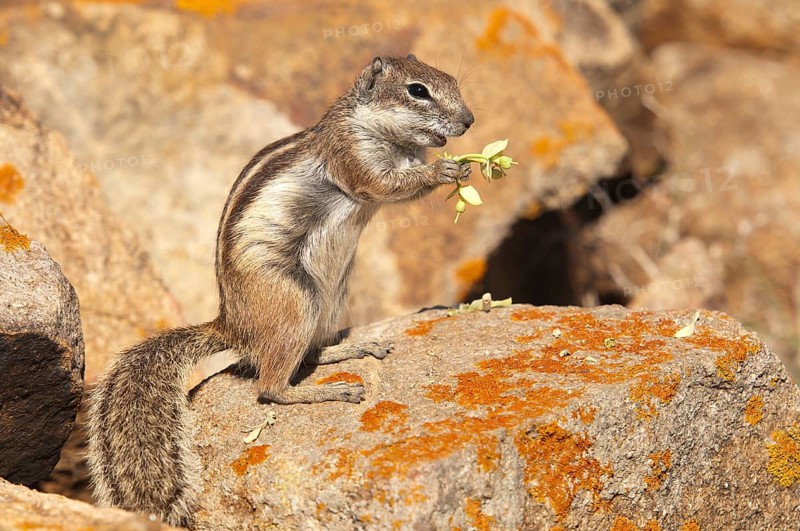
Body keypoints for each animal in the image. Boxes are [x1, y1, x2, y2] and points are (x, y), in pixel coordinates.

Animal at [86, 54, 474, 525]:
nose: (470, 121)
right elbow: (386, 185)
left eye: (452, 79)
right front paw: (446, 169)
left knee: (312, 351)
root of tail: (232, 326)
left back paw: (353, 349)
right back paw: (328, 391)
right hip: (295, 301)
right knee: (271, 388)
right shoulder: (354, 157)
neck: (386, 135)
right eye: (418, 91)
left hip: (332, 295)